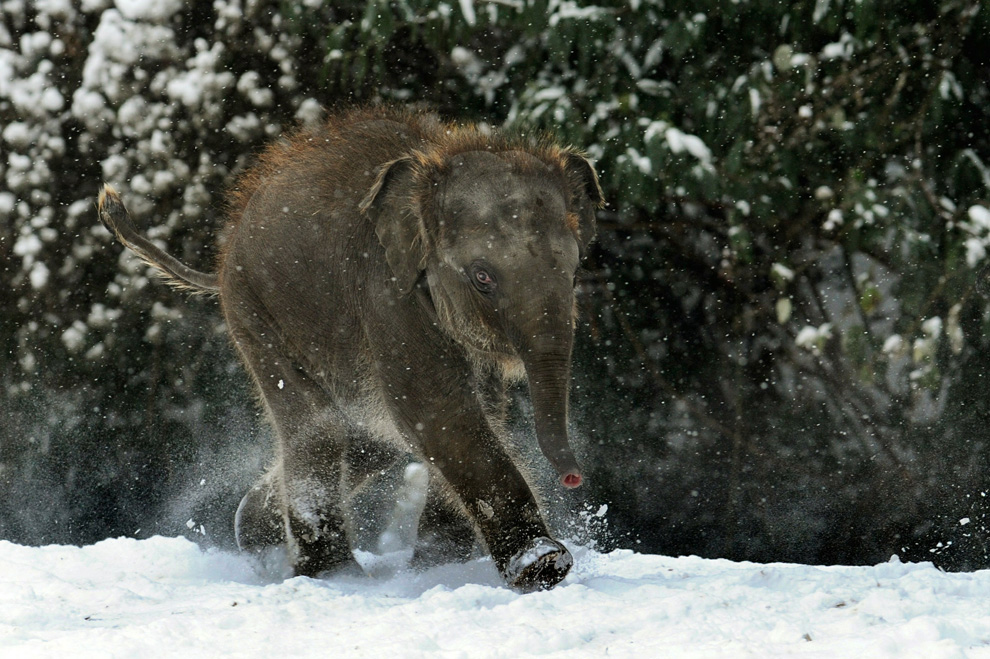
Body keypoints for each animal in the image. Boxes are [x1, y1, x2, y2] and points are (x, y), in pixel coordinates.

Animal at [97, 104, 600, 592]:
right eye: (482, 277)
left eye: (576, 271)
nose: (575, 478)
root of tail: (221, 262)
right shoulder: (386, 294)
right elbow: (437, 410)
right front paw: (541, 564)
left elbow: (472, 411)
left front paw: (440, 563)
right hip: (254, 312)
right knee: (319, 428)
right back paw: (332, 575)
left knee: (367, 438)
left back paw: (258, 535)